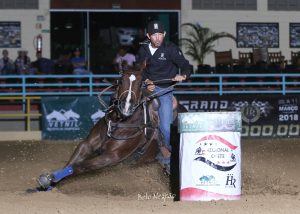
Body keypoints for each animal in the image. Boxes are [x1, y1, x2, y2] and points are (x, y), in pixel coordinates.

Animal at [37, 62, 180, 190]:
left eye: (140, 83)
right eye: (121, 81)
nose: (126, 107)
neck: (120, 122)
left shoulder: (111, 157)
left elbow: (80, 166)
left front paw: (50, 178)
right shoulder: (87, 144)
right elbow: (71, 163)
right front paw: (49, 183)